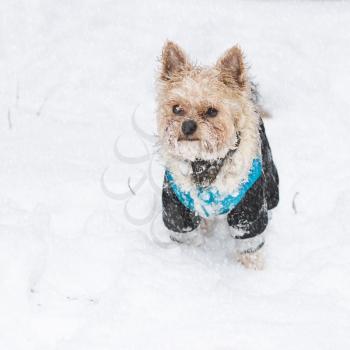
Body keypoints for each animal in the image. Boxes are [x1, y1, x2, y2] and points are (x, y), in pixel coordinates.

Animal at [156, 41, 278, 270]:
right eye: (177, 109)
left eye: (212, 111)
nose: (187, 126)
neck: (204, 163)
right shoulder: (177, 206)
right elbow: (186, 236)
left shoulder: (249, 206)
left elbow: (250, 243)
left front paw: (252, 270)